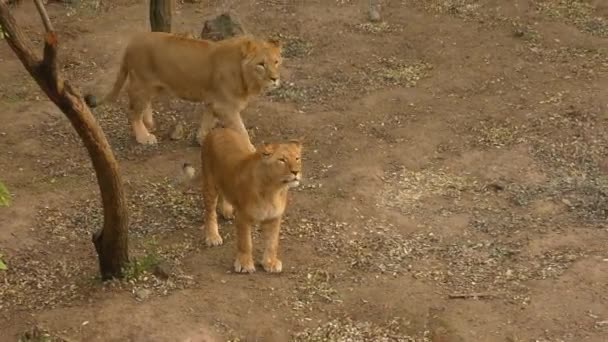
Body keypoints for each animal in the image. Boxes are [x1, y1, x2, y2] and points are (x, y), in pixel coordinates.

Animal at [83, 32, 282, 148]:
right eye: (261, 64)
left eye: (276, 61)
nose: (275, 79)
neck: (246, 77)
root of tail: (131, 43)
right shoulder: (226, 106)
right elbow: (241, 131)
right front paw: (251, 151)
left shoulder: (214, 101)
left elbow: (207, 120)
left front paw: (201, 139)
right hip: (142, 83)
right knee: (132, 112)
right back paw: (144, 136)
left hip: (154, 86)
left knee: (144, 105)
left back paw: (149, 122)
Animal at [201, 127, 302, 274]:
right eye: (282, 160)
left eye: (297, 158)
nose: (296, 172)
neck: (273, 190)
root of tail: (218, 129)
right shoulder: (243, 217)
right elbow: (245, 243)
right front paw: (244, 264)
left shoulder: (275, 218)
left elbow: (272, 242)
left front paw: (270, 263)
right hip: (209, 183)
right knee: (210, 213)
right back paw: (213, 237)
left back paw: (227, 211)